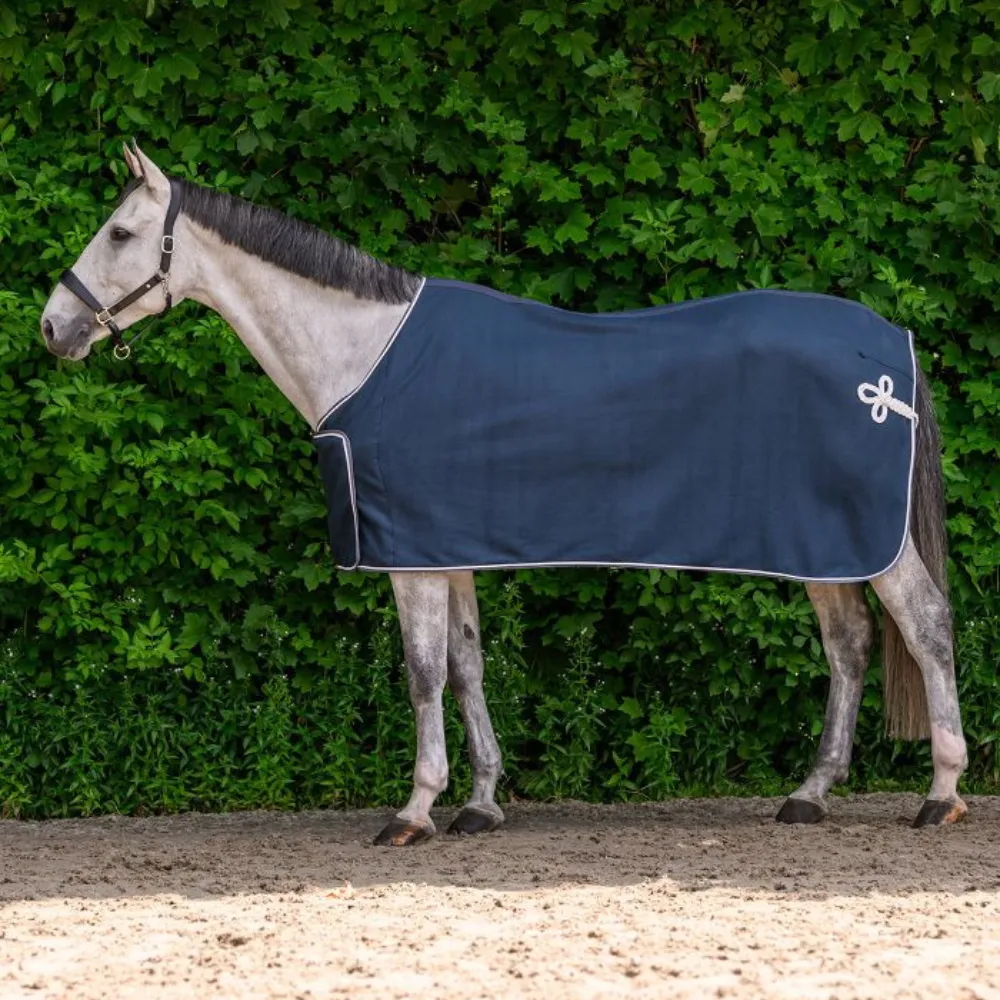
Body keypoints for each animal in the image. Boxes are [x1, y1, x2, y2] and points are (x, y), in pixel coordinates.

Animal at [40, 144, 968, 845]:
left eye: (120, 231)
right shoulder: (445, 548)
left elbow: (421, 674)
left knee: (925, 626)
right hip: (826, 546)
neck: (364, 353)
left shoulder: (410, 557)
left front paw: (414, 810)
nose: (54, 327)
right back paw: (810, 793)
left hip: (865, 543)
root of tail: (890, 349)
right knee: (850, 646)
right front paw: (480, 803)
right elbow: (467, 666)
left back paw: (942, 793)